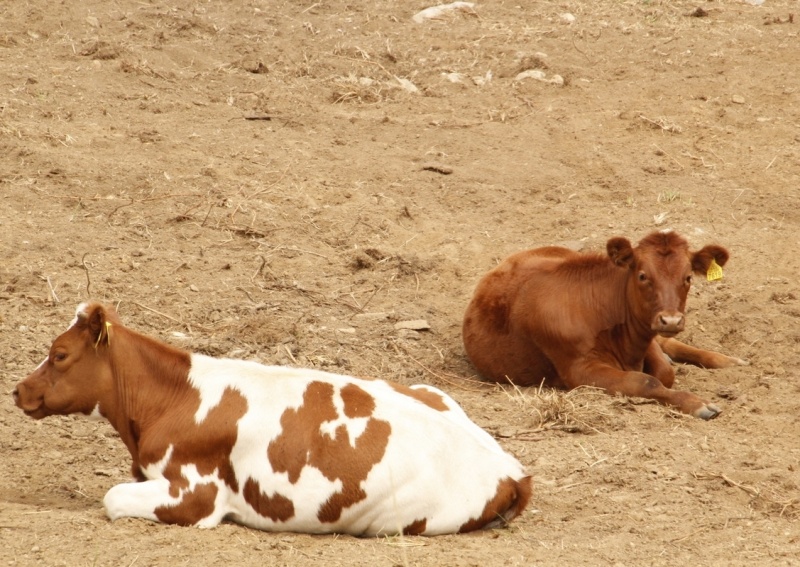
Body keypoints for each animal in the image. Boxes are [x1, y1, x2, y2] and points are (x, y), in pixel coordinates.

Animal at [14, 302, 532, 536]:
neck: (172, 399)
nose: (18, 389)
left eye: (59, 355)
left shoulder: (195, 493)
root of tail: (511, 468)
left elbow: (112, 497)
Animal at [462, 231, 752, 422]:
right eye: (642, 276)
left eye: (688, 277)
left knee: (669, 343)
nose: (670, 320)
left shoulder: (645, 335)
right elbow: (647, 380)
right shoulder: (579, 371)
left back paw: (729, 361)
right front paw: (698, 404)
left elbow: (664, 371)